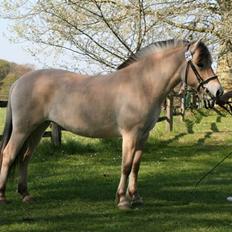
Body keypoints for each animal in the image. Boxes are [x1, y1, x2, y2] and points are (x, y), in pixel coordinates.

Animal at [0, 39, 223, 209]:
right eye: (200, 64)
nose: (218, 91)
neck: (142, 84)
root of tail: (18, 82)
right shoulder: (130, 135)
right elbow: (126, 165)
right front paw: (123, 200)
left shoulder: (143, 135)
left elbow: (136, 166)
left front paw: (136, 197)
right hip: (22, 129)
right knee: (8, 155)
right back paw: (3, 196)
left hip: (38, 129)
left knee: (24, 158)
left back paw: (25, 195)